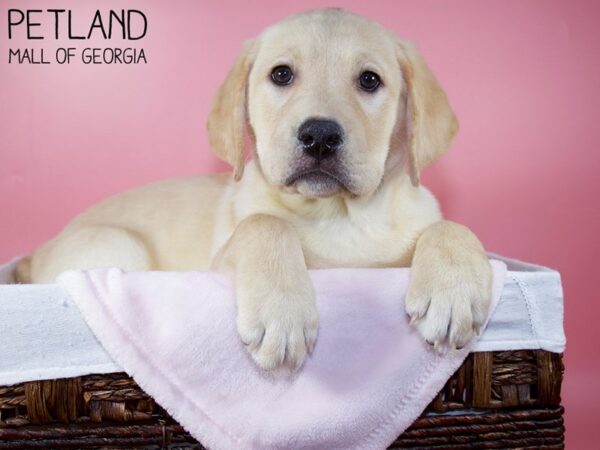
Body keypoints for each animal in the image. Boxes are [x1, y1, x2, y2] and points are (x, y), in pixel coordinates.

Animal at [18, 8, 492, 370]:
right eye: (281, 75)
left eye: (370, 80)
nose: (320, 136)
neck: (337, 215)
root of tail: (32, 256)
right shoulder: (221, 256)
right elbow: (264, 224)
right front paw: (282, 313)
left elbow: (452, 227)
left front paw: (453, 292)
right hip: (120, 246)